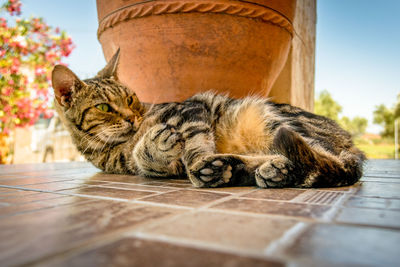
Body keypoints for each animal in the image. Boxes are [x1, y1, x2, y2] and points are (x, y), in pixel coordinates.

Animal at [52, 50, 366, 188]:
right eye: (104, 107)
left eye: (130, 99)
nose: (132, 117)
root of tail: (350, 142)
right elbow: (150, 165)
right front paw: (153, 148)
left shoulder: (191, 110)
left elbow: (194, 145)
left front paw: (188, 156)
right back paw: (247, 169)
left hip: (271, 120)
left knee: (332, 162)